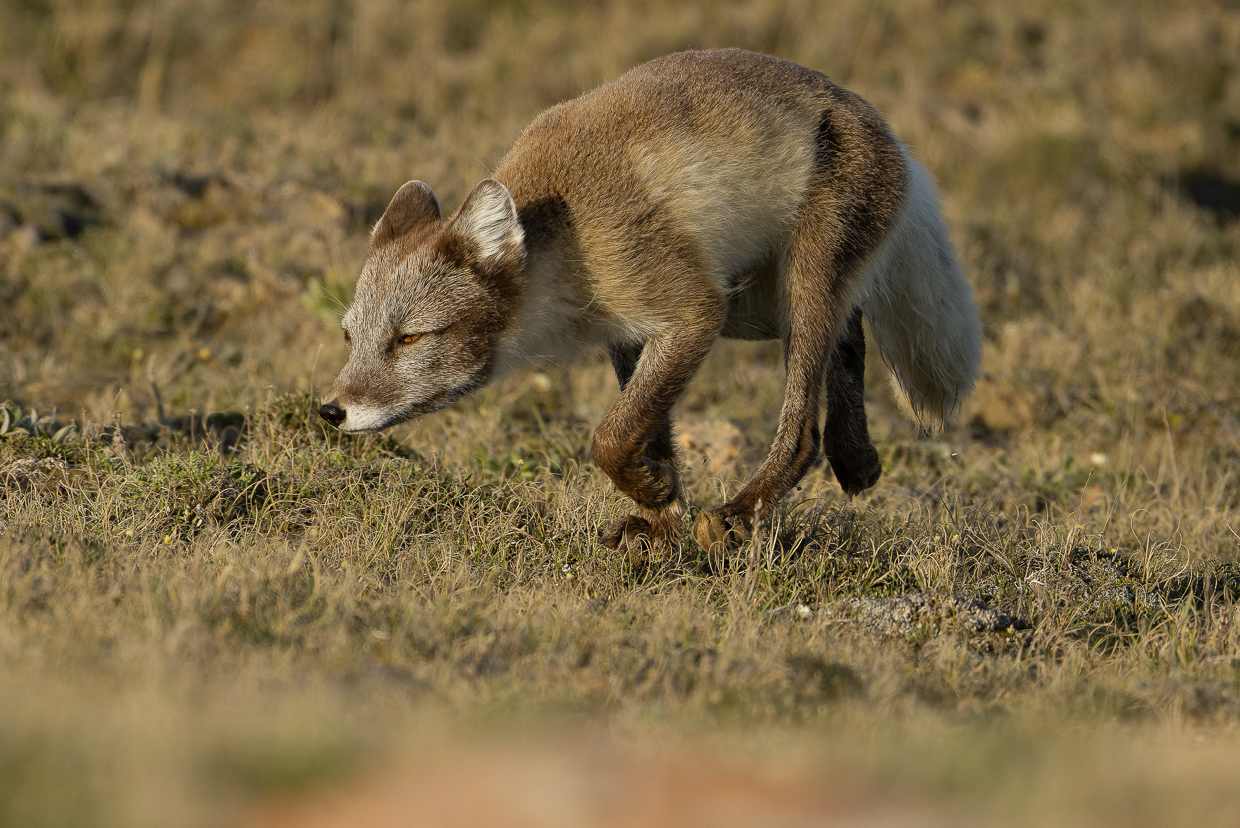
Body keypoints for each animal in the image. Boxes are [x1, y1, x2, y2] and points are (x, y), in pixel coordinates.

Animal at [319, 48, 981, 558]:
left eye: (409, 338)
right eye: (350, 337)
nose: (330, 411)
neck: (568, 243)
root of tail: (884, 126)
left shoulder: (692, 311)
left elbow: (609, 437)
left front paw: (657, 497)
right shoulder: (632, 333)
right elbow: (648, 430)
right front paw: (661, 519)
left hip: (792, 291)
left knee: (803, 432)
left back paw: (742, 513)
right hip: (760, 309)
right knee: (852, 328)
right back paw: (858, 459)